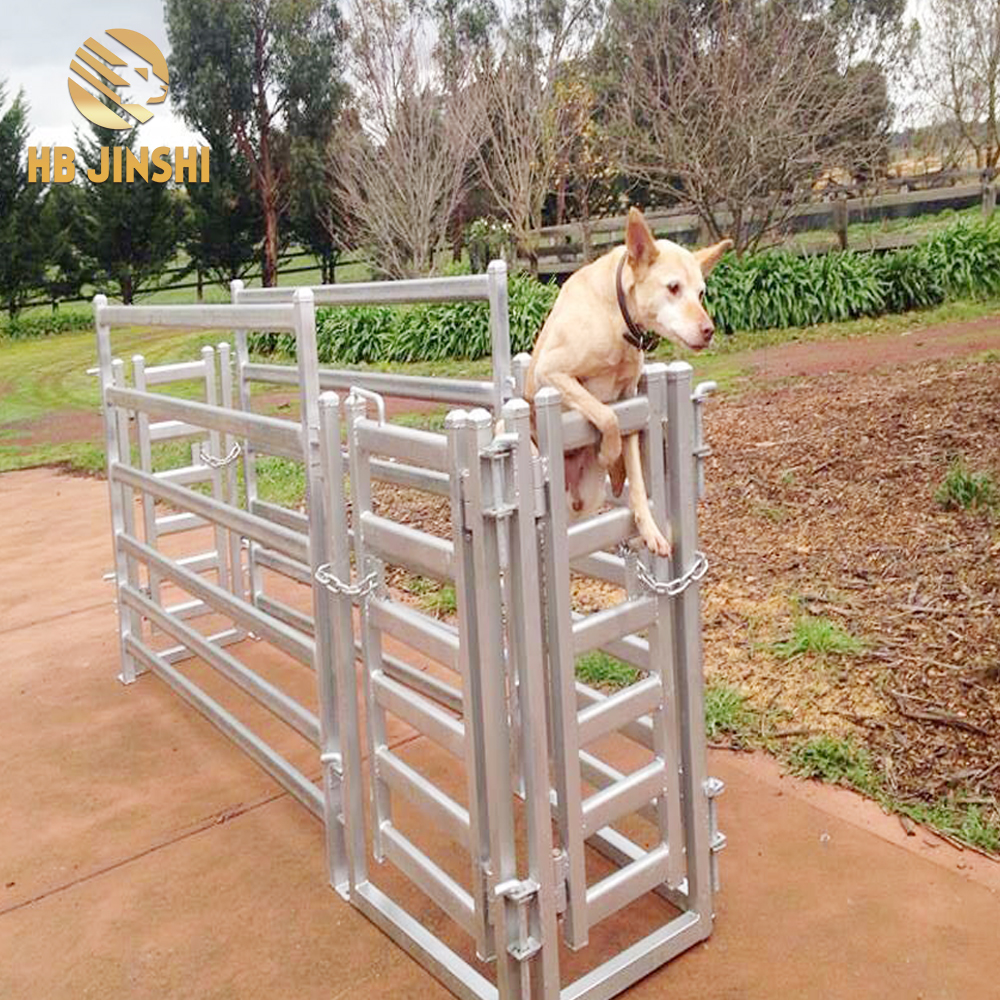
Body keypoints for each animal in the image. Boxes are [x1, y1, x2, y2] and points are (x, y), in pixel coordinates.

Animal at [528, 208, 732, 560]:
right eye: (673, 287)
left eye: (701, 293)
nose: (709, 330)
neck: (617, 319)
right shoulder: (552, 372)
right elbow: (604, 413)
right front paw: (610, 452)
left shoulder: (632, 402)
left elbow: (635, 477)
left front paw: (649, 531)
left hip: (587, 498)